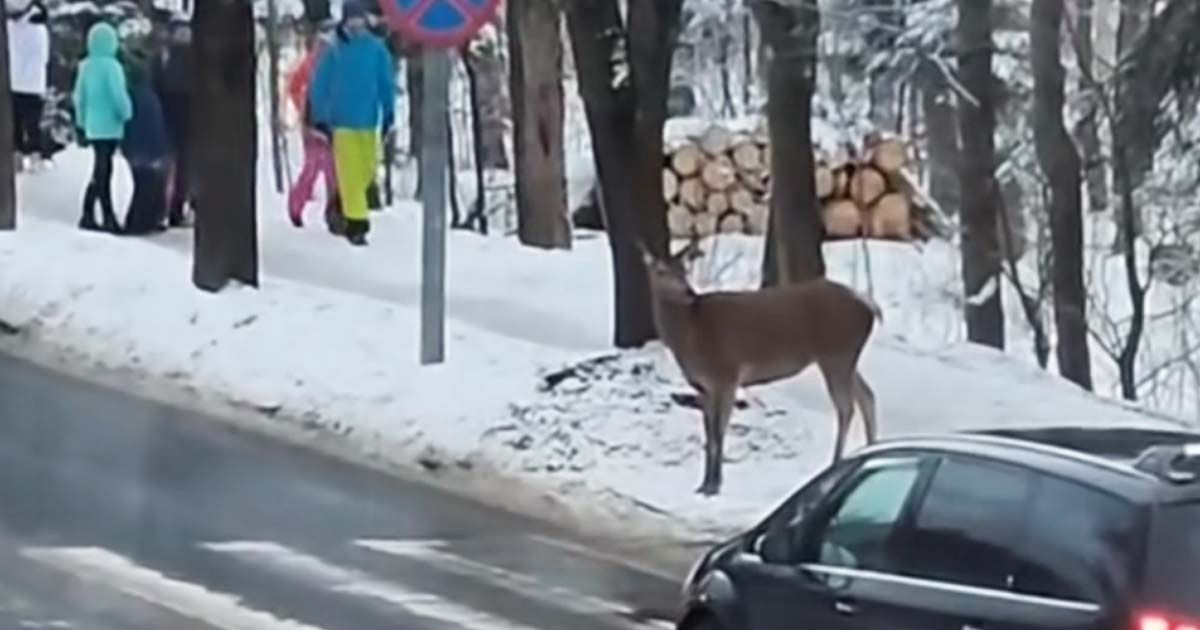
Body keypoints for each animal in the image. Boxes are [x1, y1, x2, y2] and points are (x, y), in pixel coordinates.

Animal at [638, 241, 883, 496]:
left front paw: (715, 484)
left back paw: (836, 463)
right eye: (661, 271)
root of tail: (870, 308)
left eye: (684, 270)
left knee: (847, 407)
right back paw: (870, 450)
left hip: (836, 354)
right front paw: (704, 483)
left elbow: (718, 431)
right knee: (867, 396)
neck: (691, 334)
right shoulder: (704, 386)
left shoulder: (726, 374)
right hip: (845, 358)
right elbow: (708, 433)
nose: (689, 292)